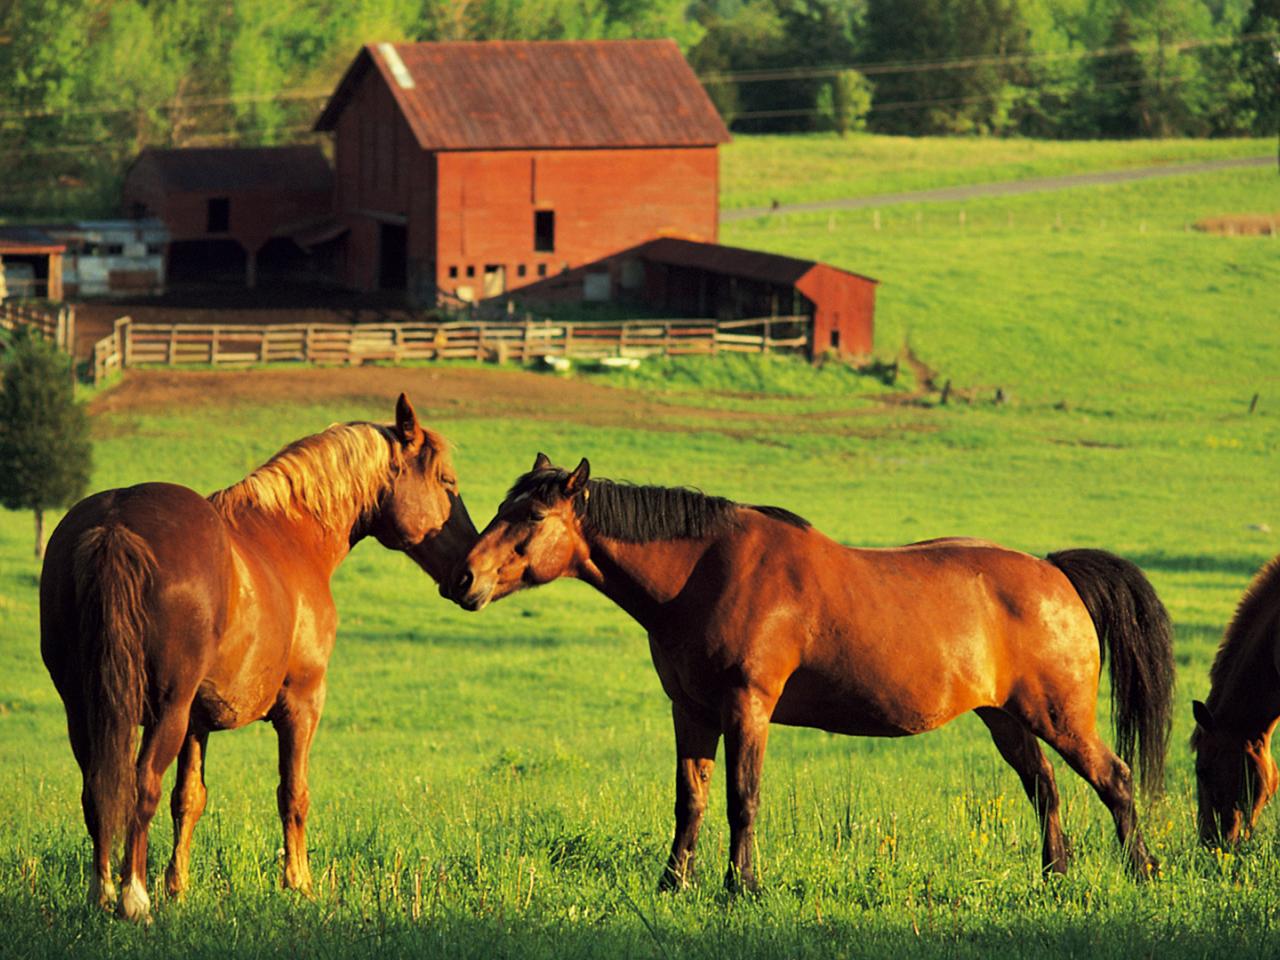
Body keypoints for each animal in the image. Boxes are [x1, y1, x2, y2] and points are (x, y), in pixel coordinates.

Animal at [43, 394, 481, 921]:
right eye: (447, 481)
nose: (469, 574)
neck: (289, 535)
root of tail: (115, 523)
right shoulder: (301, 705)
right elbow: (293, 794)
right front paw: (300, 884)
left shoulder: (197, 722)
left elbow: (189, 799)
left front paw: (178, 887)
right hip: (164, 710)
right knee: (141, 785)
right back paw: (133, 897)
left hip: (86, 709)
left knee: (97, 789)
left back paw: (103, 892)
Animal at [445, 458, 1172, 896]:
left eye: (532, 516)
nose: (462, 578)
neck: (705, 570)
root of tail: (1054, 572)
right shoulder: (691, 711)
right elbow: (691, 800)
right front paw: (672, 883)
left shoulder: (748, 708)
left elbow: (742, 799)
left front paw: (742, 887)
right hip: (1006, 720)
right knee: (1045, 791)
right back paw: (1055, 877)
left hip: (1059, 717)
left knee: (1114, 779)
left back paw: (1142, 872)